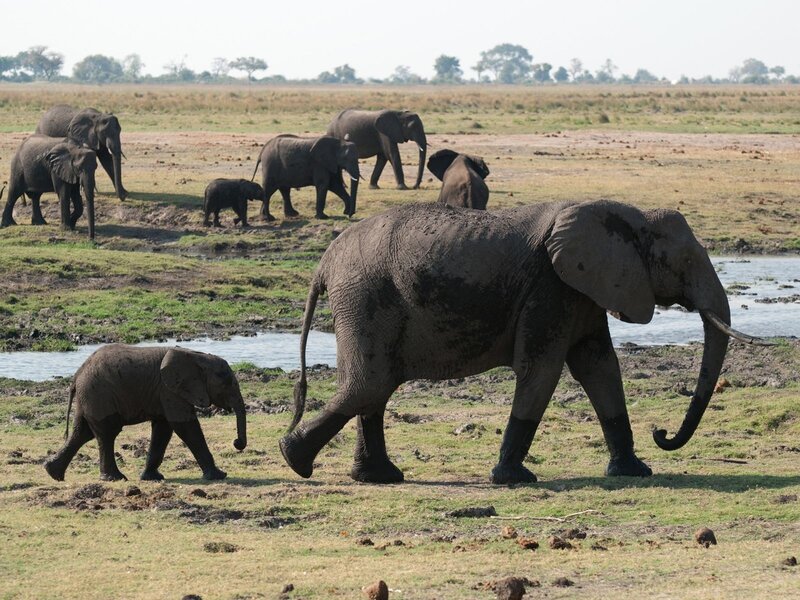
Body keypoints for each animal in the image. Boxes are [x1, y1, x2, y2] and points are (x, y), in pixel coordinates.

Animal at [44, 345, 247, 482]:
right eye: (227, 383)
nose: (237, 443)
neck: (198, 356)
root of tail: (77, 375)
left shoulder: (165, 392)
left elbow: (163, 429)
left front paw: (152, 478)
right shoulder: (169, 390)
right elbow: (184, 426)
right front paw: (219, 476)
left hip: (90, 397)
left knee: (82, 432)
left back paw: (53, 473)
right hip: (98, 395)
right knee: (106, 433)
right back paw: (115, 478)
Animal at [279, 199, 765, 485]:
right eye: (686, 262)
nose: (662, 432)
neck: (629, 218)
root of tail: (324, 262)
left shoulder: (584, 288)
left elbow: (601, 367)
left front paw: (634, 472)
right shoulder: (551, 287)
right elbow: (542, 370)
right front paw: (514, 479)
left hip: (363, 300)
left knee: (373, 388)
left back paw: (377, 476)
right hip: (366, 296)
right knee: (370, 384)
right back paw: (296, 460)